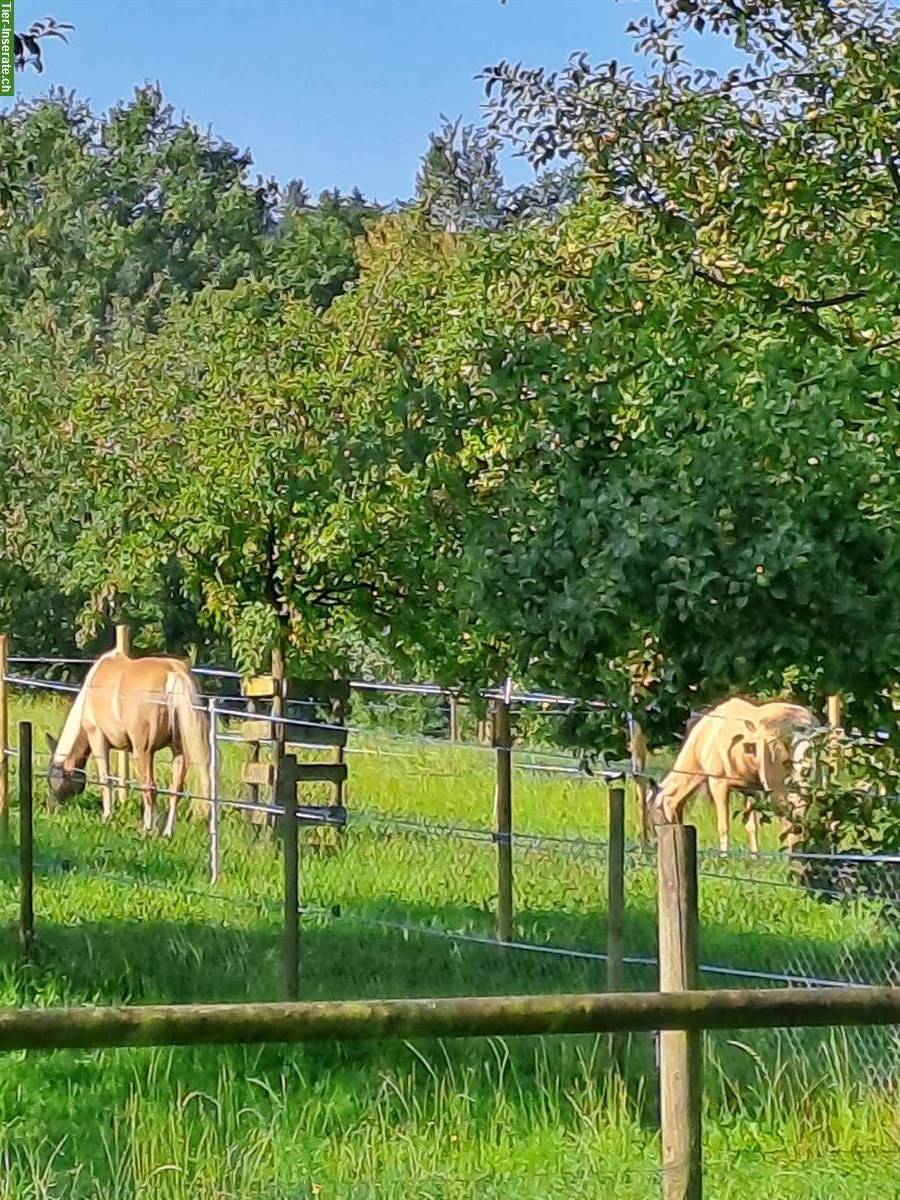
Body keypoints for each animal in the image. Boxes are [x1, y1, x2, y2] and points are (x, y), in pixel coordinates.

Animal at [46, 652, 211, 840]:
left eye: (56, 780)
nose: (52, 807)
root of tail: (174, 673)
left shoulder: (97, 738)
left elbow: (105, 779)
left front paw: (107, 817)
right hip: (179, 751)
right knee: (174, 790)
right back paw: (167, 832)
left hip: (144, 751)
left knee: (149, 787)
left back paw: (147, 829)